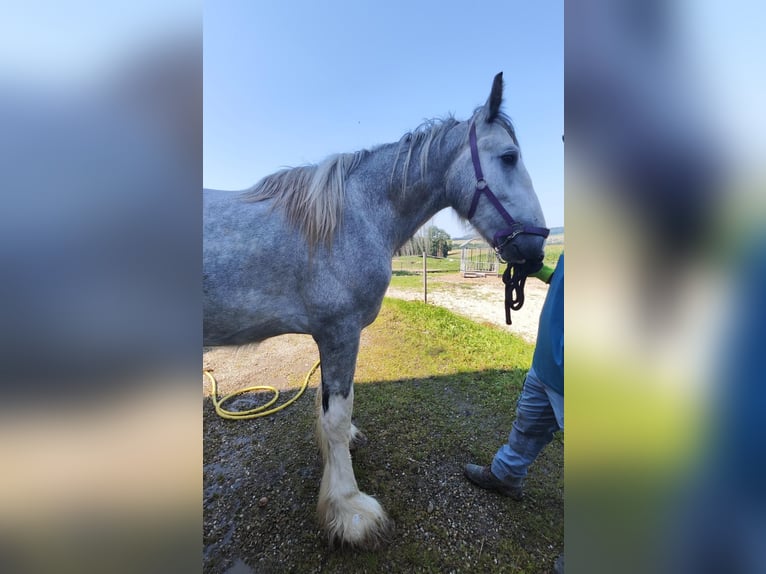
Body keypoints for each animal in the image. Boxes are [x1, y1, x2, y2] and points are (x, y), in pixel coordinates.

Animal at [203, 72, 549, 548]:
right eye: (510, 157)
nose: (537, 250)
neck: (354, 216)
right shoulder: (339, 332)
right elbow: (335, 416)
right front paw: (348, 510)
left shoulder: (331, 337)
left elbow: (331, 407)